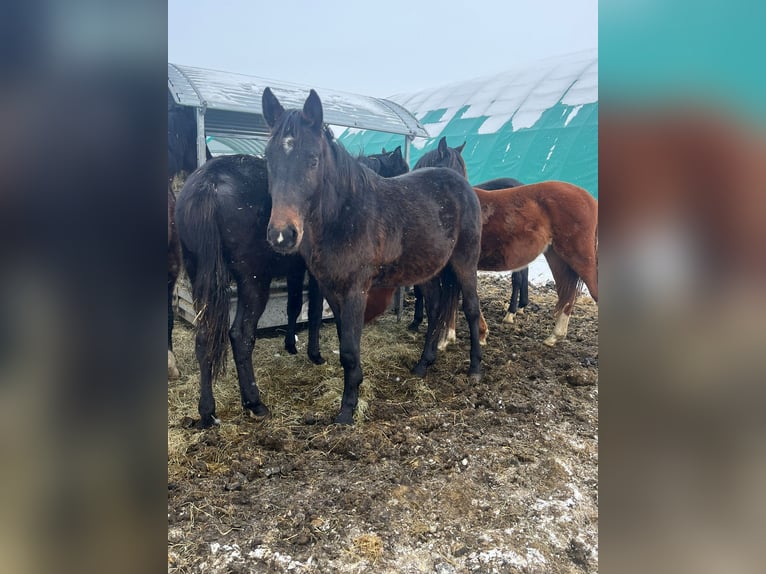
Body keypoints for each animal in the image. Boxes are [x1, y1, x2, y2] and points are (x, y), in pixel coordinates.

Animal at [261, 87, 483, 425]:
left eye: (313, 159)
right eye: (268, 158)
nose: (282, 235)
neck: (345, 215)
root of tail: (463, 187)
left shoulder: (356, 290)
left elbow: (350, 350)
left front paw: (347, 410)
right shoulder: (331, 290)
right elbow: (345, 342)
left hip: (464, 263)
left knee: (470, 308)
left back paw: (475, 369)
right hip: (429, 271)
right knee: (435, 310)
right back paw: (423, 365)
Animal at [413, 136, 598, 346]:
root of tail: (588, 197)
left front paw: (469, 335)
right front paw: (450, 336)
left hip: (581, 258)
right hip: (557, 257)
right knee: (567, 293)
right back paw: (554, 336)